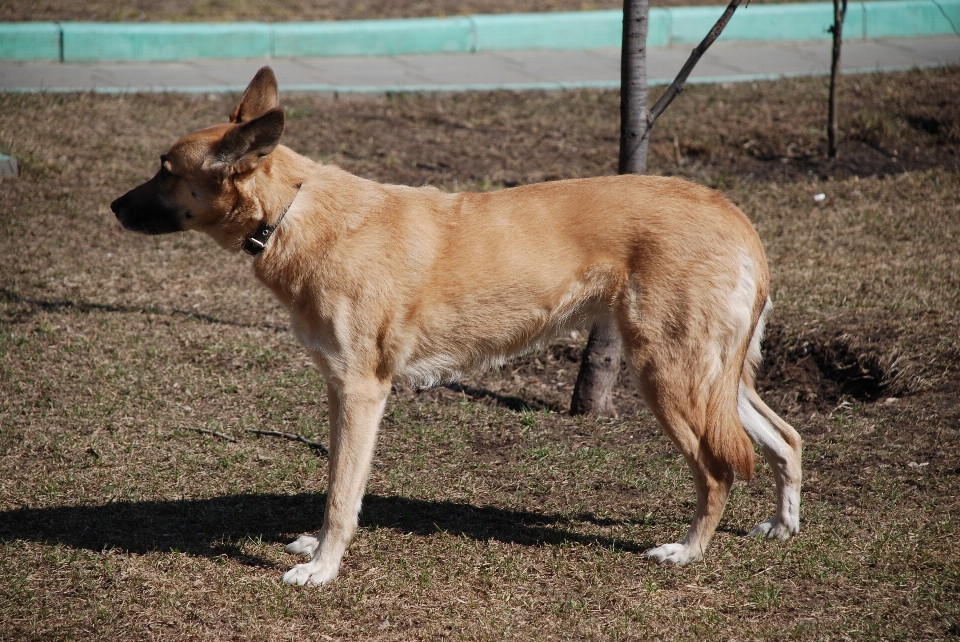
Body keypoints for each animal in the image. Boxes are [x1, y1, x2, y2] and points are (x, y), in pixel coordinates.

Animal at [112, 67, 804, 584]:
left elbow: (341, 494)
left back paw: (688, 552)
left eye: (166, 171)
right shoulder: (340, 390)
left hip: (668, 376)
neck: (291, 212)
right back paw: (782, 525)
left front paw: (324, 567)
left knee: (718, 470)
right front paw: (316, 547)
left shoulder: (362, 391)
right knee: (786, 438)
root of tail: (734, 215)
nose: (113, 206)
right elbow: (338, 480)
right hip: (712, 378)